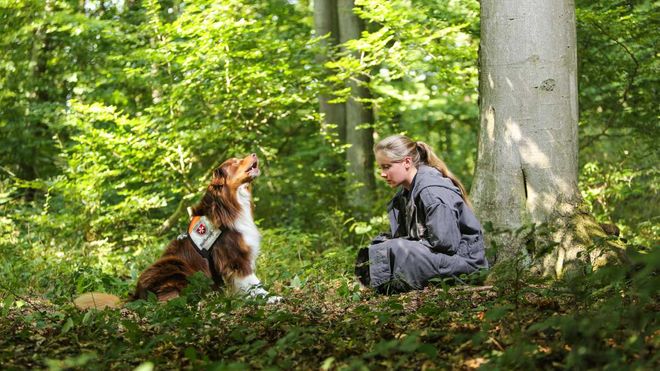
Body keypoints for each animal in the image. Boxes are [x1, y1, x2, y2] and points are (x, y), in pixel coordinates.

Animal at [75, 154, 282, 310]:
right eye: (235, 162)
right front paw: (271, 298)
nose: (254, 154)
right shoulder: (235, 258)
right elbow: (254, 282)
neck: (231, 201)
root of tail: (136, 295)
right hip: (175, 266)